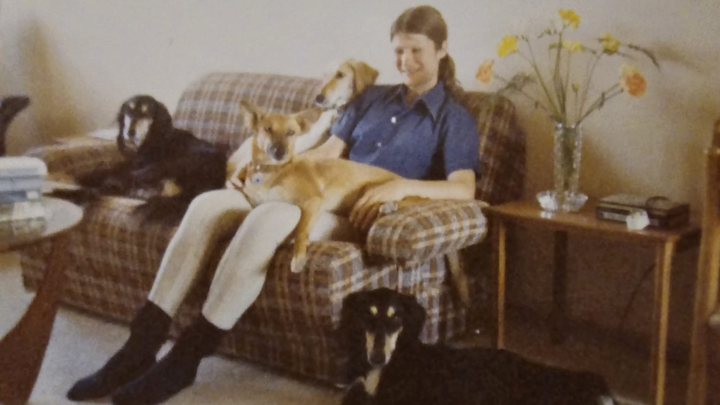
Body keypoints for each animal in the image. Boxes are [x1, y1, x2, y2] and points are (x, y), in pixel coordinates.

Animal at [60, 95, 227, 222]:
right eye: (129, 109)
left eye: (146, 112)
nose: (130, 132)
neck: (152, 137)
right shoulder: (133, 163)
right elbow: (111, 168)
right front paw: (86, 175)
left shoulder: (142, 167)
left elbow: (116, 173)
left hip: (168, 165)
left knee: (109, 186)